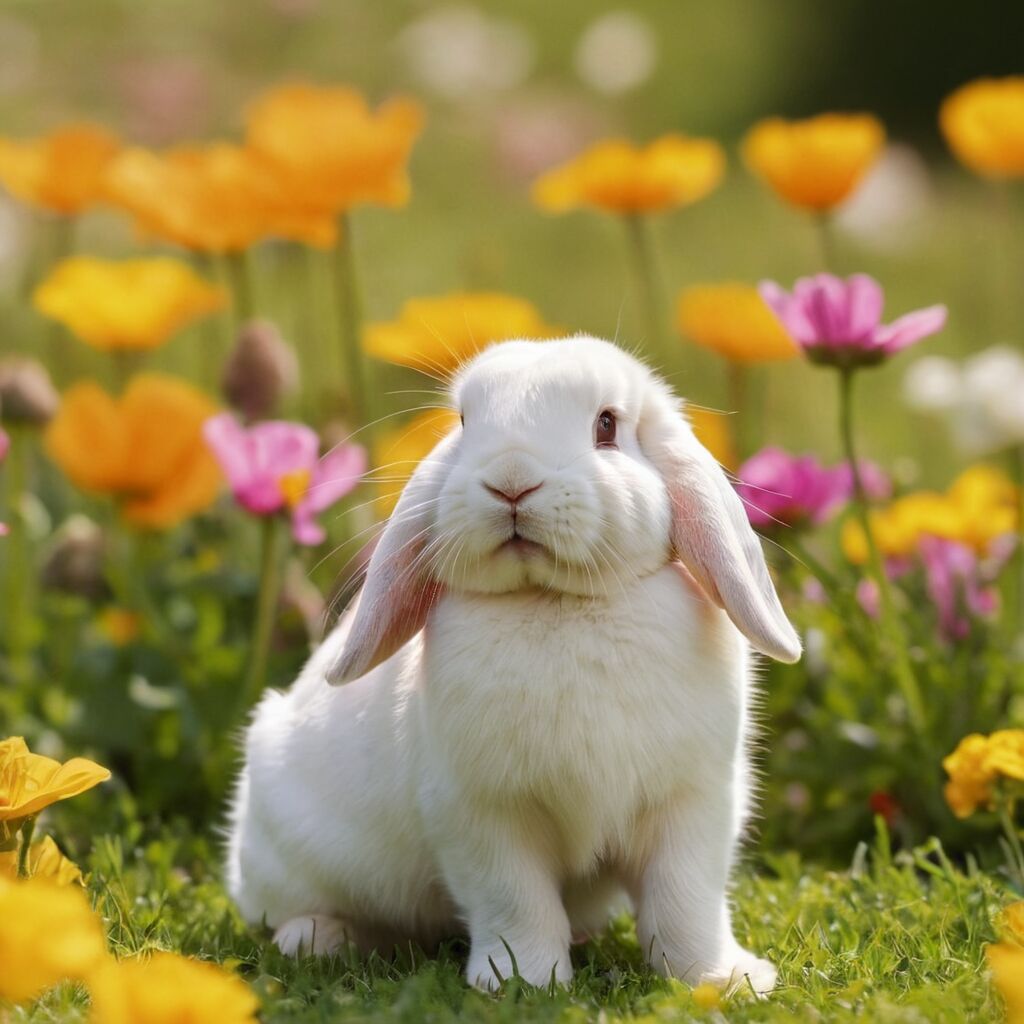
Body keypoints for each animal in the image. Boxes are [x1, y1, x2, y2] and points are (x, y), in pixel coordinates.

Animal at [226, 335, 801, 993]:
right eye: (463, 421)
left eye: (607, 425)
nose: (511, 481)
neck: (556, 602)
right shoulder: (484, 814)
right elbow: (514, 901)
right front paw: (523, 980)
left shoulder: (693, 805)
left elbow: (686, 903)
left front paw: (721, 978)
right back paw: (319, 939)